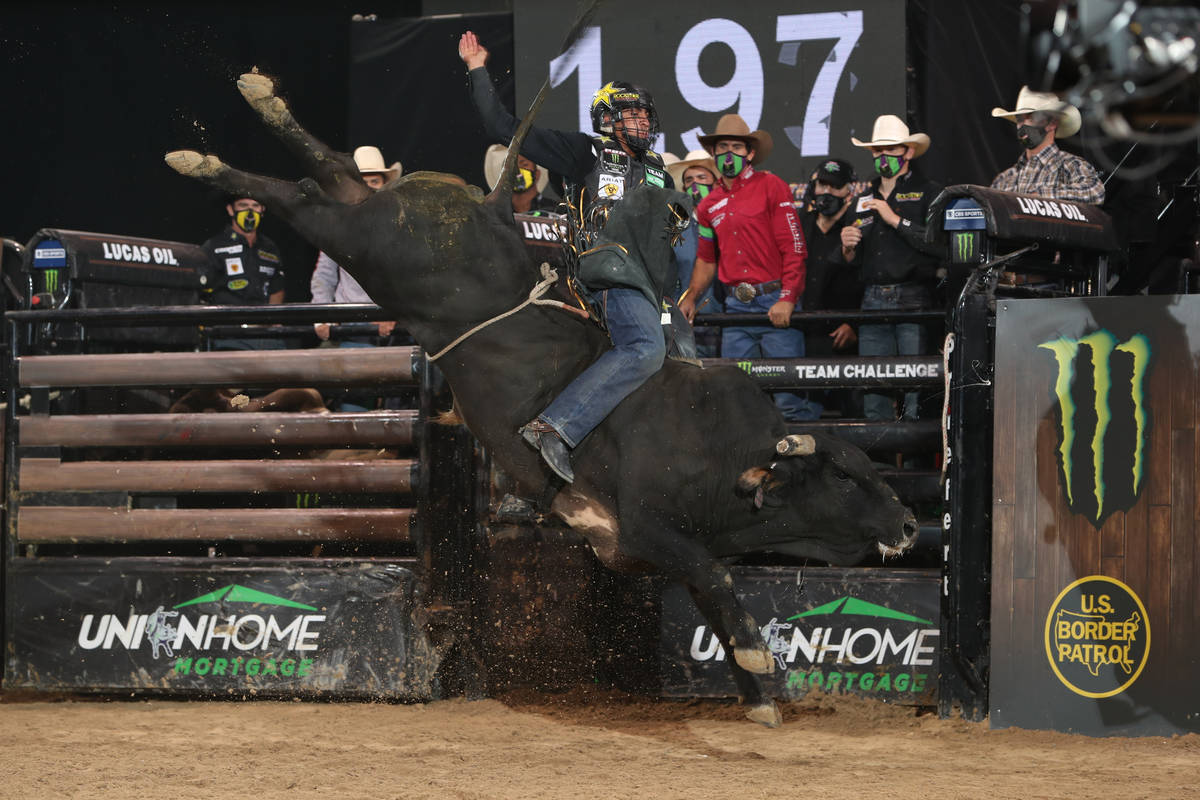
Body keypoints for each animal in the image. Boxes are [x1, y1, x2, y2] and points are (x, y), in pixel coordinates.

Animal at [166, 73, 916, 724]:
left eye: (873, 468)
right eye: (843, 476)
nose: (909, 524)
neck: (722, 451)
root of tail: (490, 209)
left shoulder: (665, 550)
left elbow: (714, 596)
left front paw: (757, 693)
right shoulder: (646, 529)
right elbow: (722, 582)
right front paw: (762, 667)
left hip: (376, 229)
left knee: (331, 175)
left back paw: (249, 111)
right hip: (380, 248)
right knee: (304, 196)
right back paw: (206, 156)